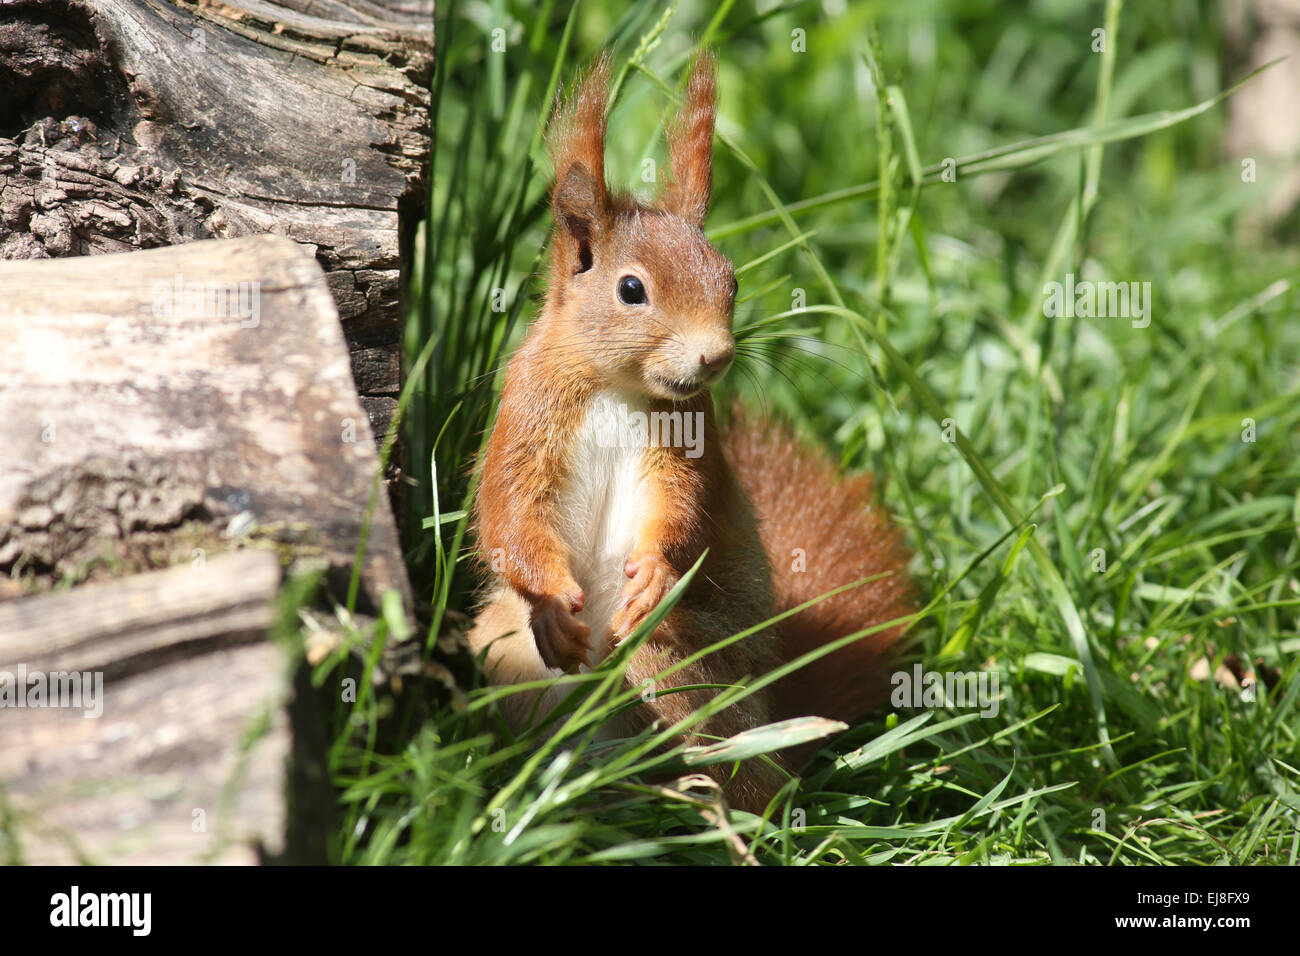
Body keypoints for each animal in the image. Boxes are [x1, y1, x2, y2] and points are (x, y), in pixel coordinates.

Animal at [470, 54, 915, 816]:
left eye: (729, 281)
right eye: (631, 290)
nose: (717, 356)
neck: (615, 386)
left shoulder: (689, 439)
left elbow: (687, 511)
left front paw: (654, 570)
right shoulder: (525, 415)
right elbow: (510, 514)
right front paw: (552, 601)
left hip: (678, 664)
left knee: (733, 768)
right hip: (504, 651)